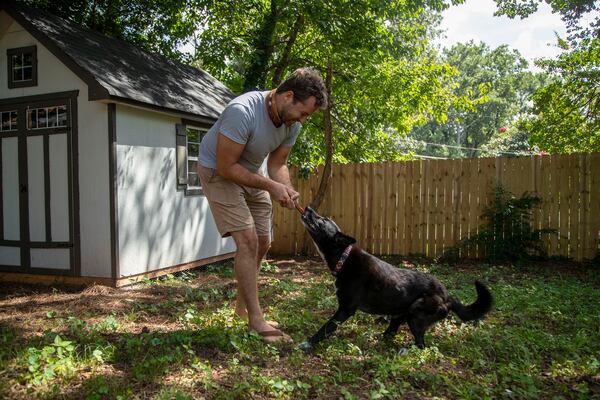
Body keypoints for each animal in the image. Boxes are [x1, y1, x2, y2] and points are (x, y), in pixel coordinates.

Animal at [298, 206, 492, 350]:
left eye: (322, 220)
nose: (307, 207)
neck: (343, 258)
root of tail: (448, 296)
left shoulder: (346, 309)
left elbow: (327, 328)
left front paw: (308, 343)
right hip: (402, 313)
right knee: (390, 333)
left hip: (416, 313)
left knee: (421, 344)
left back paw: (405, 351)